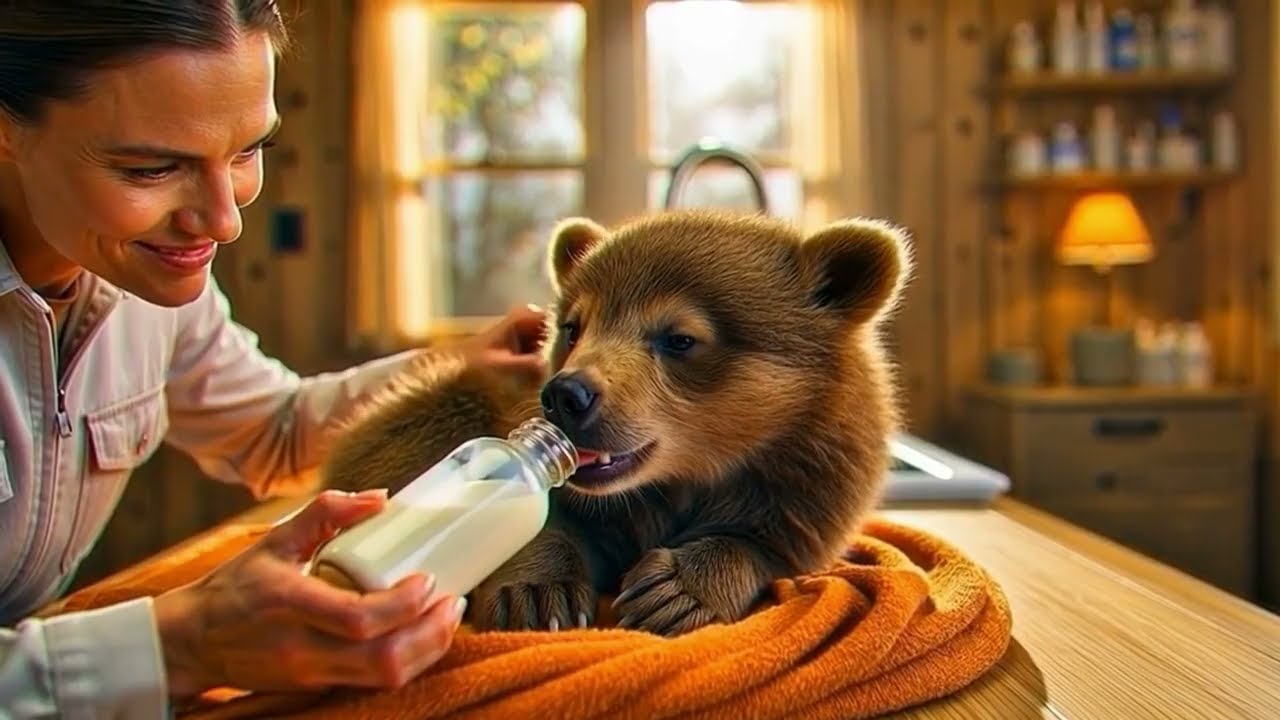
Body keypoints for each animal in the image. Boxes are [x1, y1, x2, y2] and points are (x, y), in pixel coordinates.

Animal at [320, 208, 913, 637]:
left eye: (680, 337)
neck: (681, 479)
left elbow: (759, 540)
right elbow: (550, 523)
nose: (567, 395)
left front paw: (674, 591)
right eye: (574, 326)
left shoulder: (807, 486)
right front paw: (537, 592)